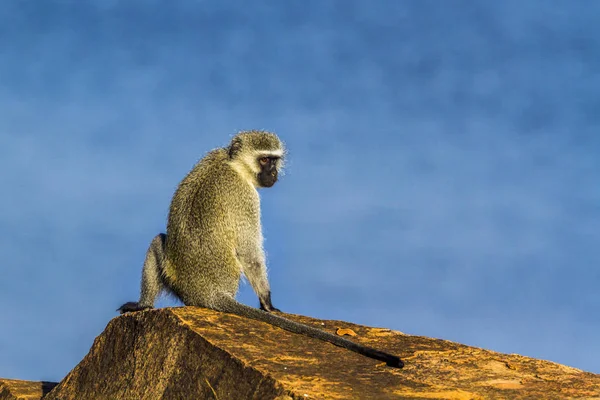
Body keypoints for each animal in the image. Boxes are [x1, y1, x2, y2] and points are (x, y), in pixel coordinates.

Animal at [119, 131, 404, 368]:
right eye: (265, 160)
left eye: (275, 160)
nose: (274, 174)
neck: (233, 164)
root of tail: (207, 293)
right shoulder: (246, 198)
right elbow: (249, 252)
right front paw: (267, 302)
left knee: (158, 241)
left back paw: (143, 305)